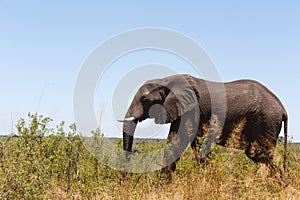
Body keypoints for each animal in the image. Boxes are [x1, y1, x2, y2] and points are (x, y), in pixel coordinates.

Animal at [118, 74, 288, 177]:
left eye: (145, 100)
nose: (125, 176)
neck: (166, 80)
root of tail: (283, 109)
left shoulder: (191, 108)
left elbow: (177, 140)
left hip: (266, 122)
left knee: (259, 155)